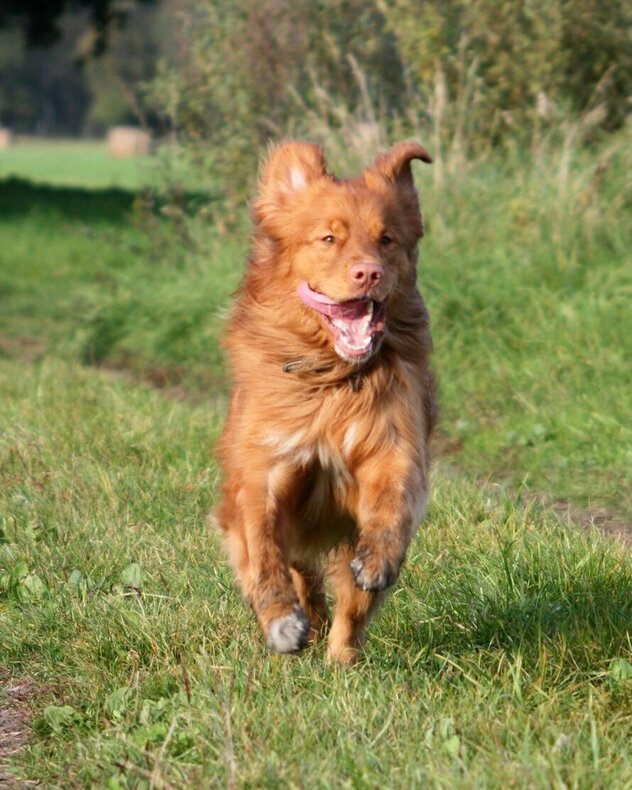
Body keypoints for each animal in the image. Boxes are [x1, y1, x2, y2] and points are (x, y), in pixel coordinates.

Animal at [216, 139, 434, 664]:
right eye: (328, 239)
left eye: (387, 239)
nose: (368, 273)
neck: (332, 381)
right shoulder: (266, 468)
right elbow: (263, 548)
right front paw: (280, 620)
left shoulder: (393, 446)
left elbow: (393, 499)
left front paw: (378, 558)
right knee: (297, 569)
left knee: (349, 606)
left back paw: (341, 659)